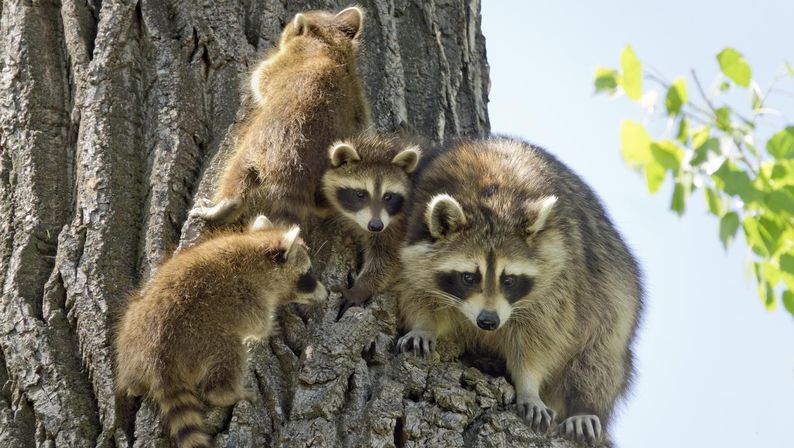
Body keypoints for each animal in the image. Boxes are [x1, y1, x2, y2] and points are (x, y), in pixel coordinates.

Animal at [113, 215, 324, 446]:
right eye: (308, 274)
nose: (325, 293)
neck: (256, 247)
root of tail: (158, 358)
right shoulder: (252, 295)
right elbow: (256, 323)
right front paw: (267, 329)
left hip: (131, 333)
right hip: (205, 337)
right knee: (229, 355)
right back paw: (227, 393)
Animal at [189, 7, 372, 228]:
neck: (331, 46)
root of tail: (297, 174)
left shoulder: (281, 64)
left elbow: (259, 81)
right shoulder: (358, 96)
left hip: (260, 146)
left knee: (237, 172)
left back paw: (223, 206)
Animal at [320, 133, 424, 318]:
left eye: (388, 196)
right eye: (360, 194)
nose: (376, 226)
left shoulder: (400, 227)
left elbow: (388, 259)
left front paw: (360, 288)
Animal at [392, 136, 640, 444]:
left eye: (509, 280)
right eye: (468, 277)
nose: (488, 321)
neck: (489, 197)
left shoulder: (559, 278)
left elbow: (540, 338)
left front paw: (528, 386)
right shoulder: (409, 240)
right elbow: (415, 292)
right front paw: (424, 325)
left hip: (613, 299)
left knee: (599, 357)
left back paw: (585, 407)